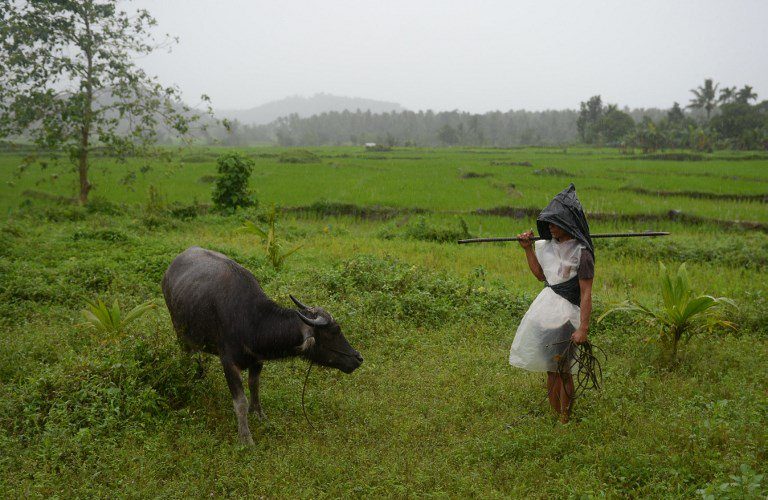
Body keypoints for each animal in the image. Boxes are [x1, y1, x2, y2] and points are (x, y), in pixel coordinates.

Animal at [161, 245, 364, 442]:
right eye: (334, 332)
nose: (358, 358)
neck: (251, 320)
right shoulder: (228, 363)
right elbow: (240, 402)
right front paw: (245, 437)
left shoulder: (257, 360)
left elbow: (254, 387)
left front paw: (260, 416)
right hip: (180, 334)